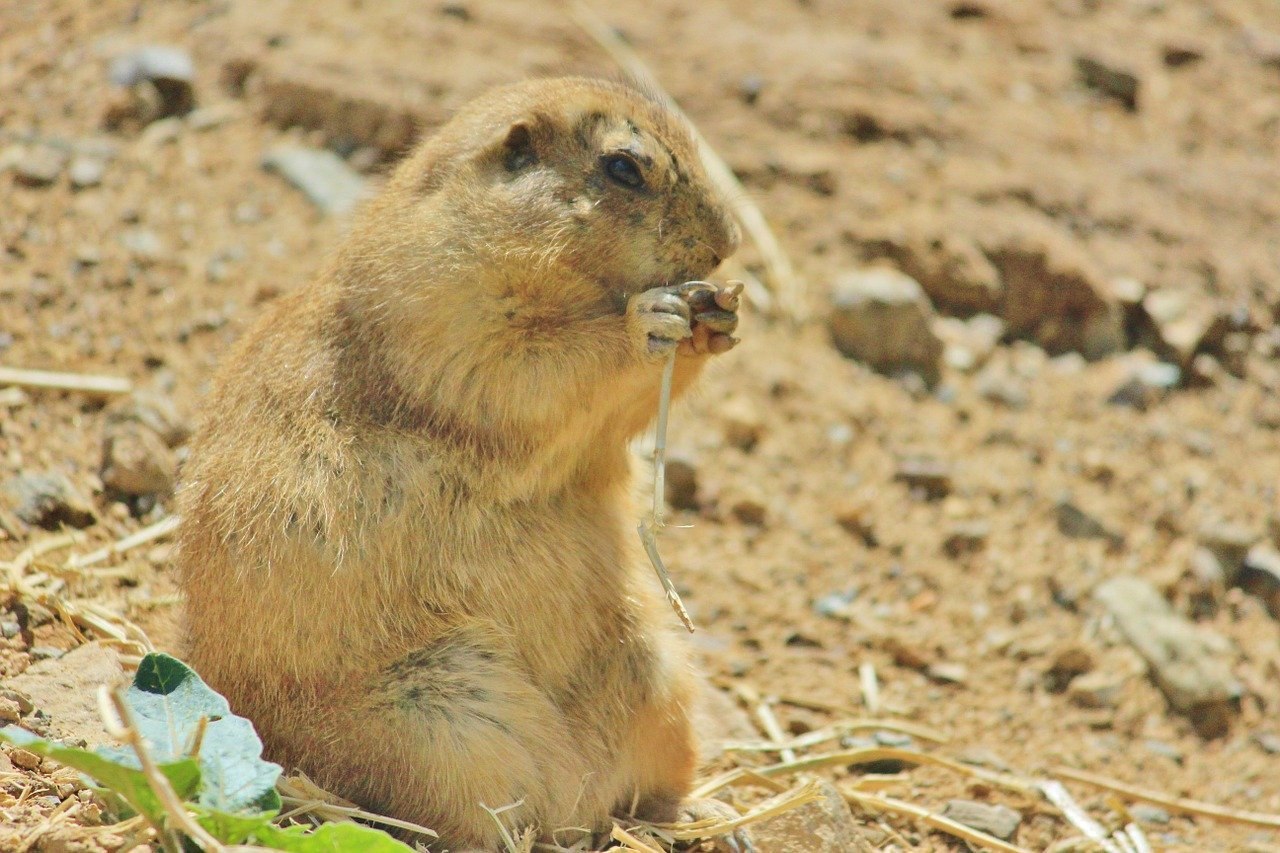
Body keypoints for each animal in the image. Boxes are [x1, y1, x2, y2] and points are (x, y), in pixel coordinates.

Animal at [175, 78, 747, 845]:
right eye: (624, 167)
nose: (727, 245)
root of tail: (573, 808)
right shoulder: (444, 310)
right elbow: (529, 368)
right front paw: (652, 318)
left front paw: (720, 317)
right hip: (439, 720)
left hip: (659, 676)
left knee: (644, 789)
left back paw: (709, 815)